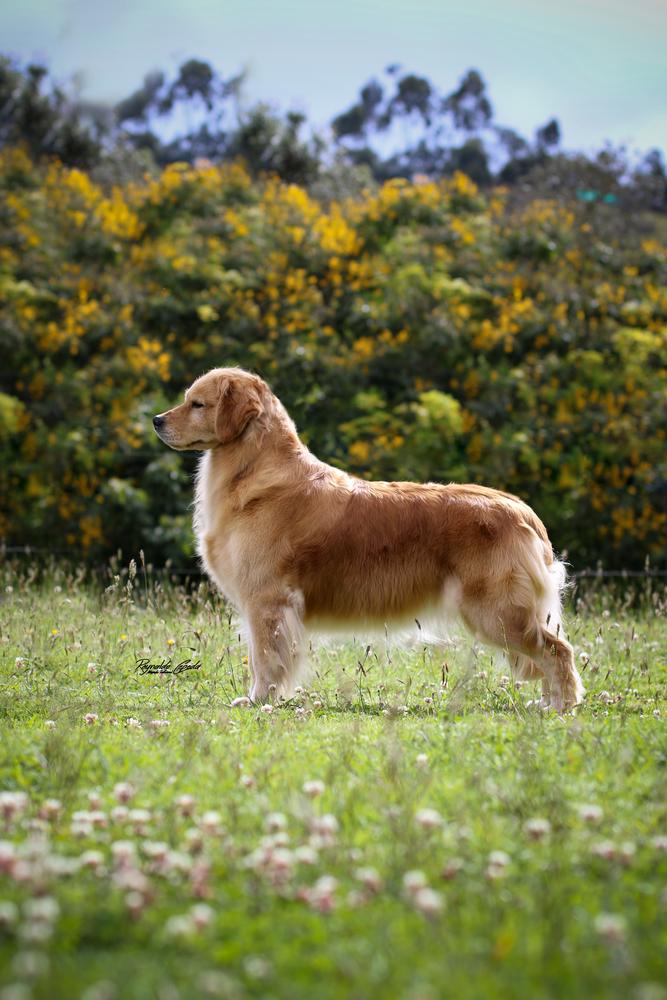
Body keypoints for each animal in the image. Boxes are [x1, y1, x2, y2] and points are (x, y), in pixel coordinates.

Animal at [155, 368, 584, 712]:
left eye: (197, 404)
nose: (157, 420)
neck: (255, 471)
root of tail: (523, 512)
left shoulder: (267, 600)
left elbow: (265, 659)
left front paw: (260, 700)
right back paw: (546, 702)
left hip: (496, 611)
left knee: (558, 650)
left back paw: (561, 705)